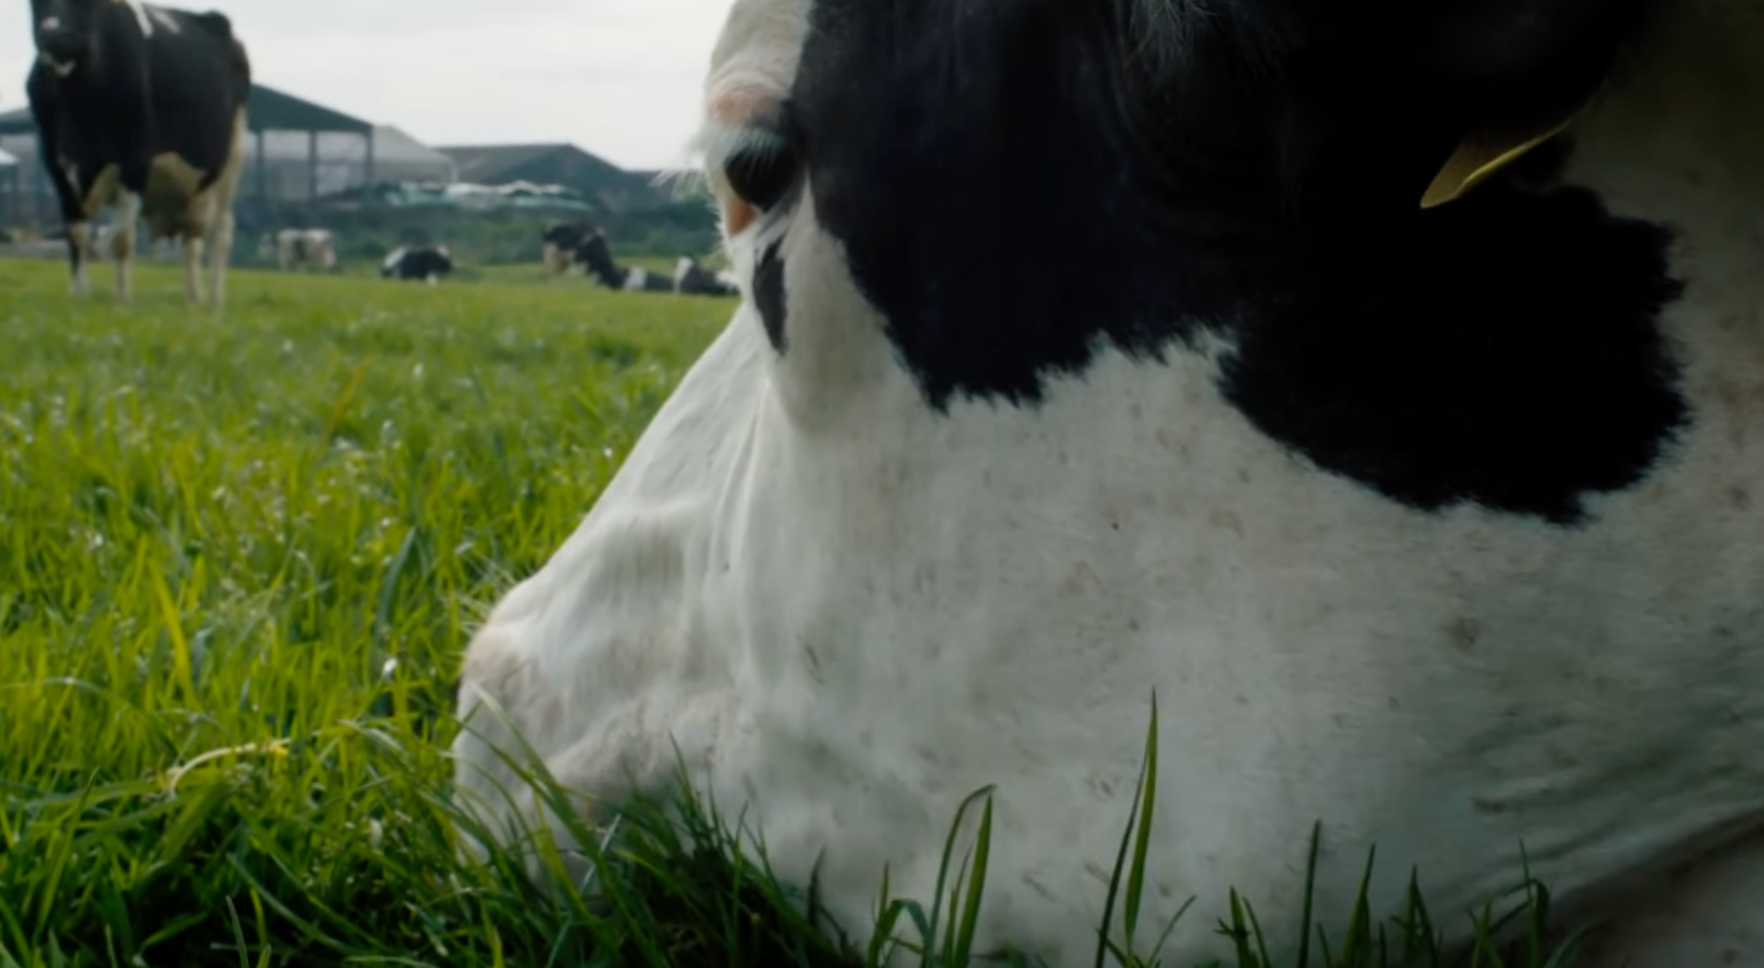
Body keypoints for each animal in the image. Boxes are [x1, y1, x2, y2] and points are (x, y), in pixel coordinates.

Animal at [26, 0, 251, 307]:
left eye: (84, 4)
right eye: (35, 3)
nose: (54, 35)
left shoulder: (136, 160)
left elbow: (120, 237)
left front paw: (121, 298)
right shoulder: (55, 161)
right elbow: (76, 232)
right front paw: (78, 292)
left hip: (229, 164)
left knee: (220, 231)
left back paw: (215, 299)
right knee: (191, 240)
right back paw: (193, 297)